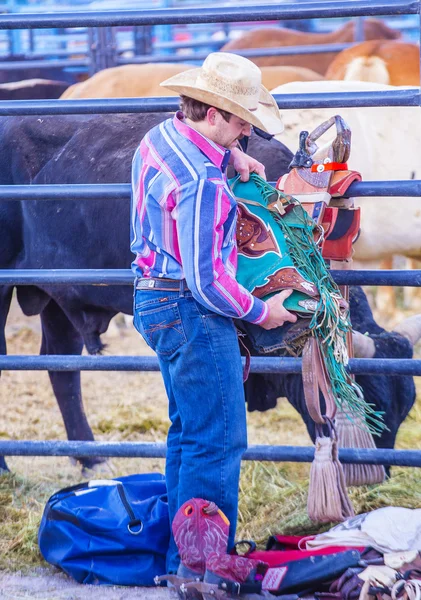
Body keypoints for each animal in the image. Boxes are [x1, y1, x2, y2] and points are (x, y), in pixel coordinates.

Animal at [0, 111, 416, 468]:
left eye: (405, 407)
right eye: (362, 402)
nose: (376, 475)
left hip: (58, 300)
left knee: (62, 368)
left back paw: (90, 456)